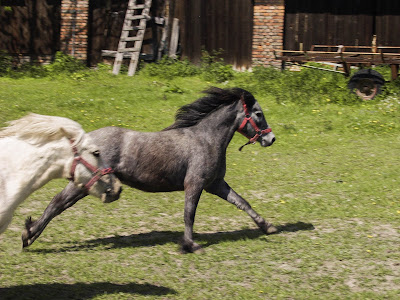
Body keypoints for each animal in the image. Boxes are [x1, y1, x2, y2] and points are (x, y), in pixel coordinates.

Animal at [21, 87, 276, 253]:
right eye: (259, 113)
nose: (271, 139)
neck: (205, 139)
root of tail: (85, 139)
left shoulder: (215, 184)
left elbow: (242, 202)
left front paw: (268, 227)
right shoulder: (194, 184)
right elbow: (189, 214)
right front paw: (190, 245)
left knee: (59, 204)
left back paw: (30, 234)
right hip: (86, 184)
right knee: (57, 203)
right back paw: (28, 235)